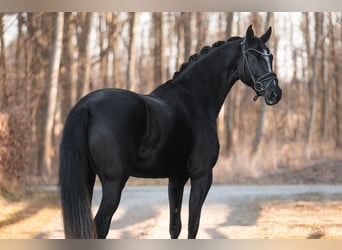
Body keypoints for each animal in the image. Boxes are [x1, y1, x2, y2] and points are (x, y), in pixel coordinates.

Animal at [59, 24, 284, 238]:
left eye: (270, 56)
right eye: (253, 56)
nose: (275, 93)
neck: (194, 99)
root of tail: (87, 105)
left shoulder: (176, 178)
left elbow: (175, 227)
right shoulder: (202, 176)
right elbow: (193, 225)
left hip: (87, 179)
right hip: (114, 183)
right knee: (99, 227)